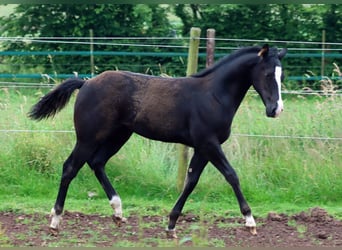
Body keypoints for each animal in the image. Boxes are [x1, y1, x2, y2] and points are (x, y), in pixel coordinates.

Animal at [28, 44, 286, 237]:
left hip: (119, 135)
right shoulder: (209, 143)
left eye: (281, 76)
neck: (214, 95)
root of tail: (86, 82)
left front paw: (171, 225)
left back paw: (118, 212)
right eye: (267, 74)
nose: (276, 110)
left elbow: (191, 181)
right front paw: (250, 221)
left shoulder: (202, 148)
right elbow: (231, 175)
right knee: (70, 167)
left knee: (97, 163)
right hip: (88, 137)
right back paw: (55, 221)